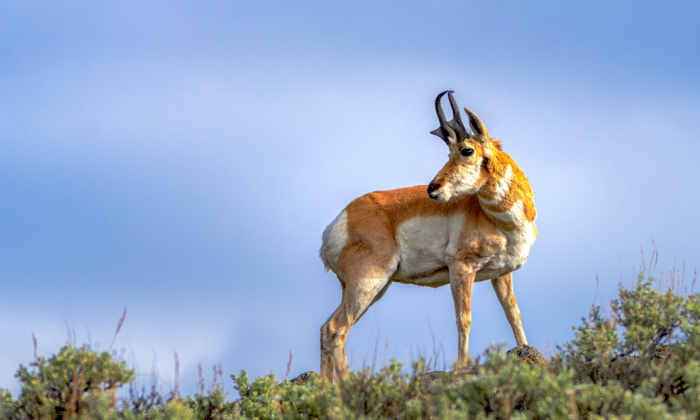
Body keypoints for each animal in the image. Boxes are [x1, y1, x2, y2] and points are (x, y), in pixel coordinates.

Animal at [320, 91, 540, 380]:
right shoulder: (461, 268)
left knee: (326, 330)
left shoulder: (502, 274)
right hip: (367, 283)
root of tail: (337, 223)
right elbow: (463, 318)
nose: (432, 189)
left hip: (366, 288)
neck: (502, 221)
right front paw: (461, 367)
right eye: (449, 152)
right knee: (336, 329)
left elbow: (513, 313)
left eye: (466, 150)